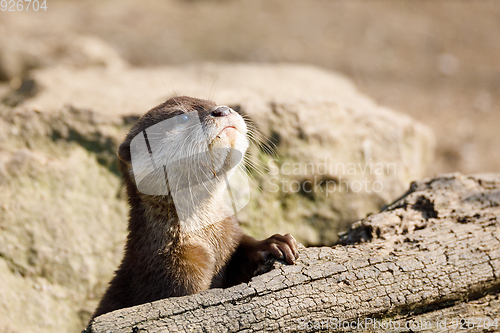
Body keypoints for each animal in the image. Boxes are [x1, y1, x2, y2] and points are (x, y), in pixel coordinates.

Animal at [91, 94, 296, 318]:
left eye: (213, 102)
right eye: (181, 117)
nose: (223, 110)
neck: (206, 238)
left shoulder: (230, 234)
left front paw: (276, 243)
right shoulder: (174, 270)